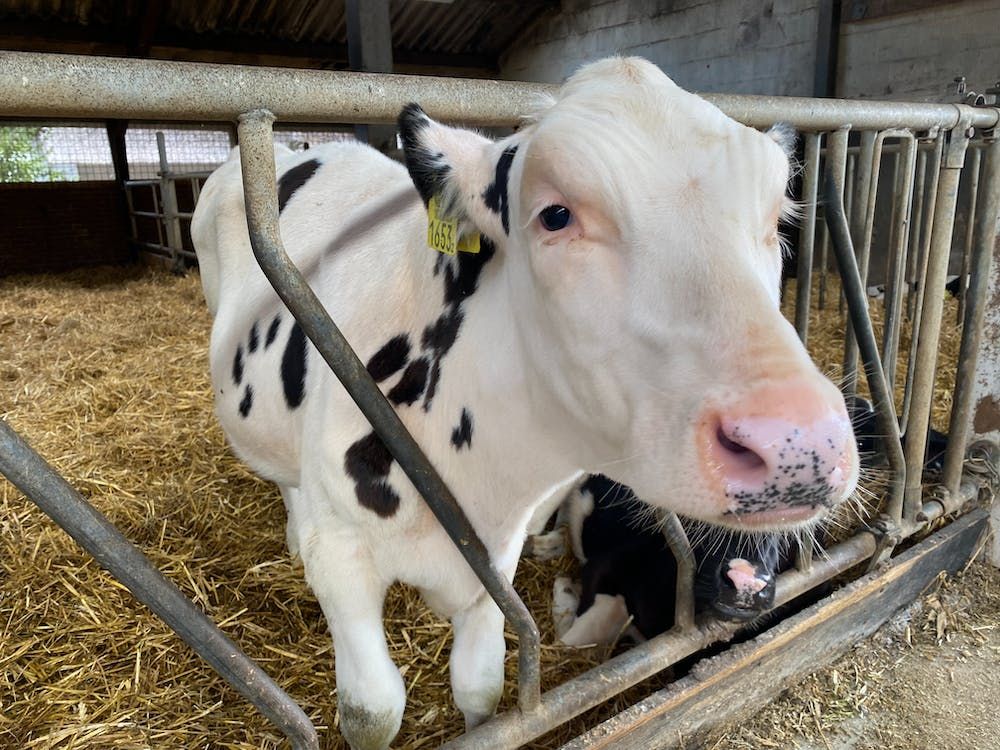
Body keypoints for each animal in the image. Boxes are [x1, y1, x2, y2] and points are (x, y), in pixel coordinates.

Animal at [191, 57, 859, 750]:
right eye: (555, 215)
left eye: (777, 219)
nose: (798, 444)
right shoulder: (343, 556)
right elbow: (372, 712)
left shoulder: (496, 555)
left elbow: (481, 688)